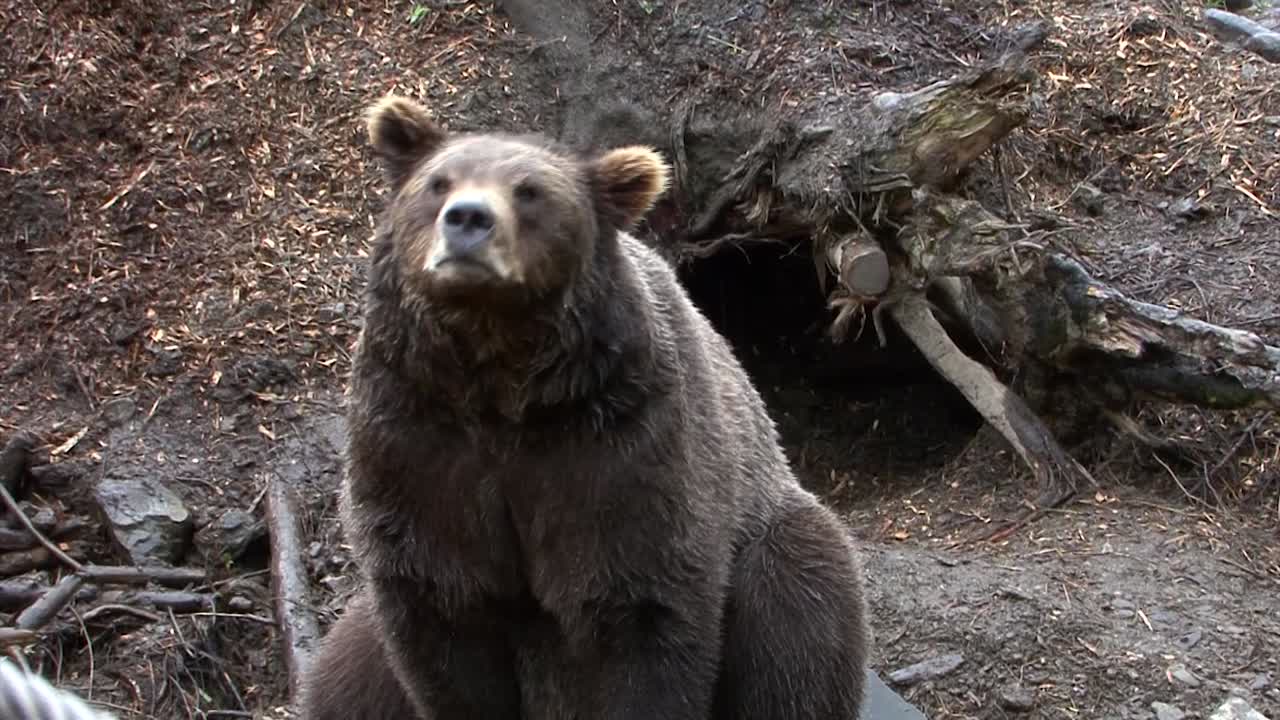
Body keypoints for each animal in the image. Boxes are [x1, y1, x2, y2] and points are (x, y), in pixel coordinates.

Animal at [297, 93, 870, 720]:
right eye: (438, 182)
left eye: (529, 191)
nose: (467, 219)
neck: (501, 384)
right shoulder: (417, 437)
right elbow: (441, 615)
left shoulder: (617, 446)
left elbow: (643, 617)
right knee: (345, 672)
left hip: (769, 531)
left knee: (797, 615)